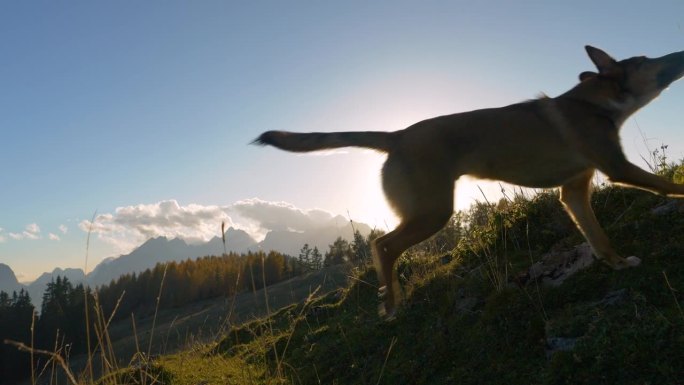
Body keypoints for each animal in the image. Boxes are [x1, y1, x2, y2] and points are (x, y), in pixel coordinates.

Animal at [254, 46, 684, 316]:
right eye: (646, 59)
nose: (677, 53)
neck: (594, 102)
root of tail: (397, 134)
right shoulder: (618, 168)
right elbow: (667, 184)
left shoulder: (574, 191)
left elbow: (598, 238)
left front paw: (617, 263)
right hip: (433, 211)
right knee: (383, 245)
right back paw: (391, 302)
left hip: (427, 211)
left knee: (384, 245)